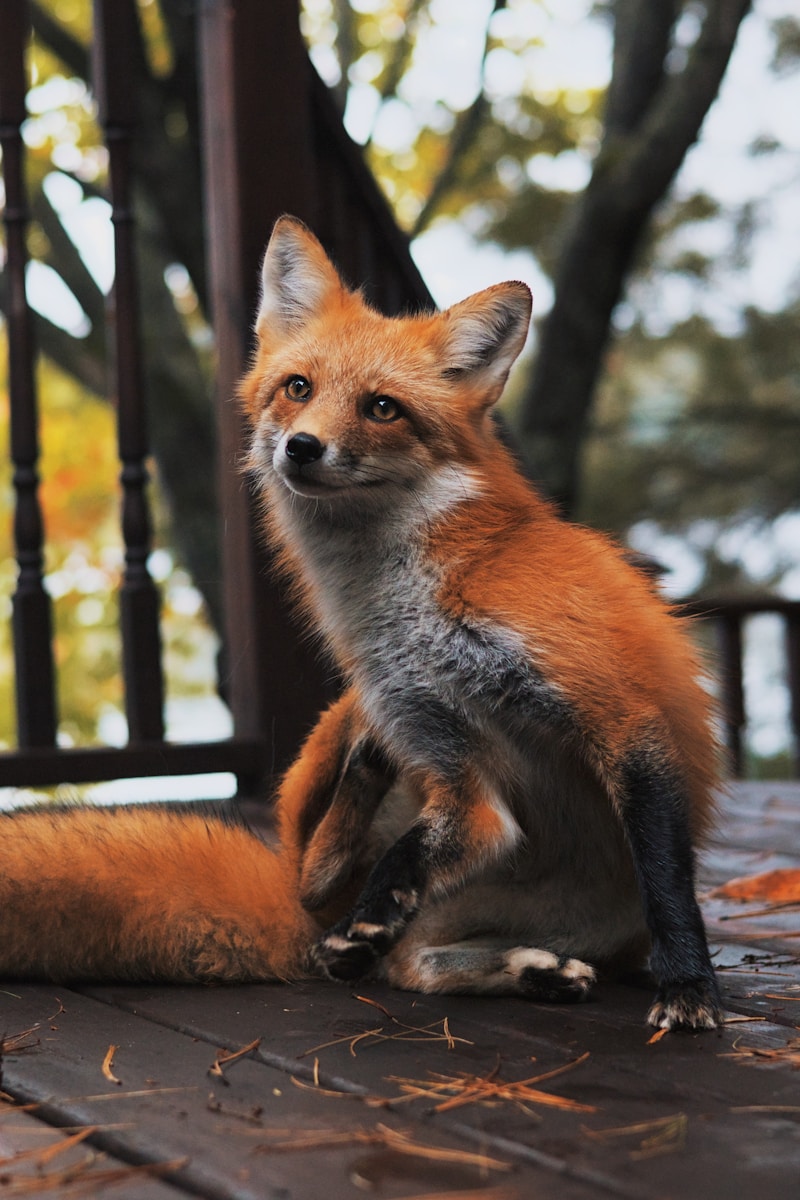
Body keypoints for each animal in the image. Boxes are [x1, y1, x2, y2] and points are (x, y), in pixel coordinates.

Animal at [0, 216, 722, 1031]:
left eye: (382, 407)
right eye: (298, 388)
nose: (302, 447)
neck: (414, 612)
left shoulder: (621, 717)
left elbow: (667, 881)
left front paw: (688, 985)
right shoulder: (446, 753)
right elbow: (414, 851)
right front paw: (372, 914)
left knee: (401, 950)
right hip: (337, 736)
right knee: (337, 897)